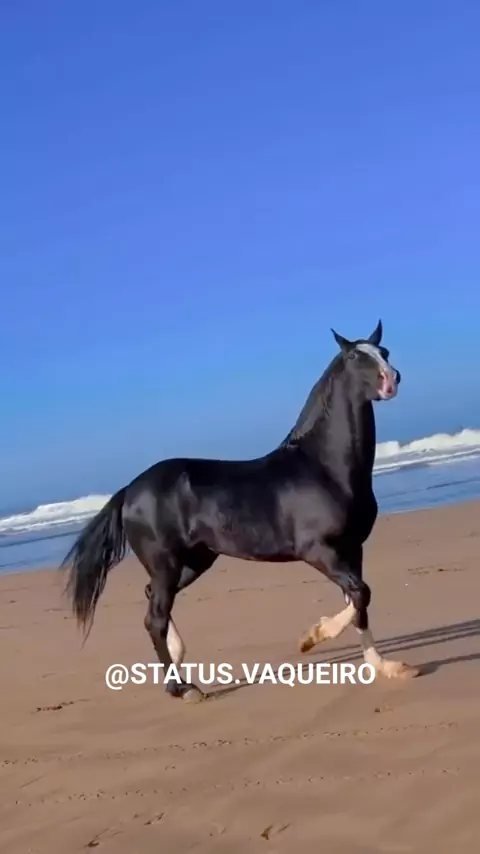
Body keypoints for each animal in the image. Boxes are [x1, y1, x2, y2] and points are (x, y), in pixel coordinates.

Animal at [60, 319, 419, 703]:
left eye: (384, 352)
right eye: (354, 356)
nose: (391, 379)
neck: (325, 469)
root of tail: (131, 489)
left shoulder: (353, 550)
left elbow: (359, 603)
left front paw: (384, 667)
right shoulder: (320, 551)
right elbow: (361, 594)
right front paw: (311, 638)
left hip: (195, 560)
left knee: (154, 604)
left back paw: (179, 658)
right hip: (166, 563)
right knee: (154, 618)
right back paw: (182, 688)